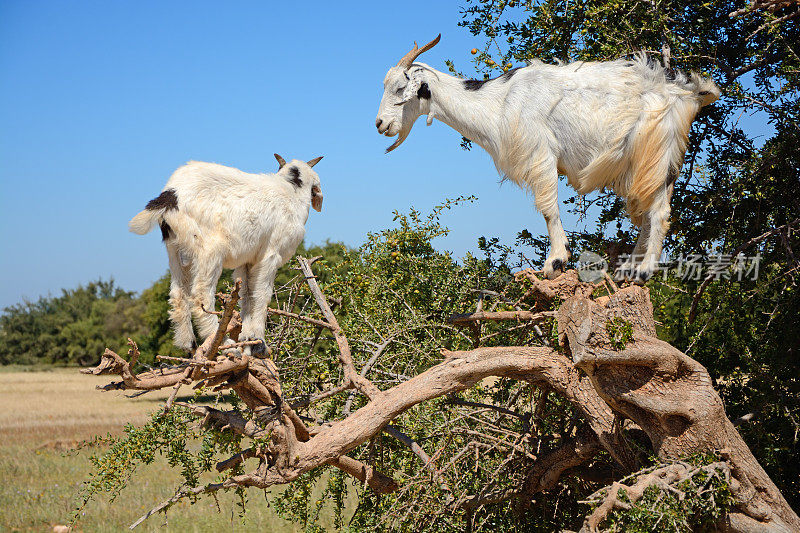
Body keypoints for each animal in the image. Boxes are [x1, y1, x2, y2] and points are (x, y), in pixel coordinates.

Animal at [128, 154, 322, 354]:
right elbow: (262, 294)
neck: (291, 193)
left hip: (176, 251)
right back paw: (224, 343)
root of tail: (170, 195)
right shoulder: (270, 254)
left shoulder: (247, 260)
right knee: (201, 296)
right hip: (210, 250)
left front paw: (247, 338)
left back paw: (188, 344)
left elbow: (247, 295)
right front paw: (259, 342)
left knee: (178, 295)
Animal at [376, 34, 720, 280]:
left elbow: (547, 207)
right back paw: (628, 269)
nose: (379, 124)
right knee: (649, 212)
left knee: (658, 212)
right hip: (656, 164)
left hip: (654, 154)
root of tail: (686, 92)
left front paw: (555, 261)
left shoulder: (540, 154)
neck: (499, 103)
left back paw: (645, 270)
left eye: (400, 89)